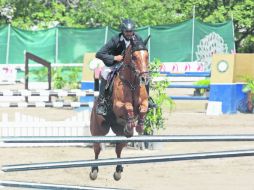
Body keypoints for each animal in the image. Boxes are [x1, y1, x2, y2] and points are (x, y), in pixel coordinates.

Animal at [89, 36, 150, 180]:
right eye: (134, 57)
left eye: (147, 56)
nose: (144, 78)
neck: (132, 83)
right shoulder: (118, 105)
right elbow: (128, 106)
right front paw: (132, 123)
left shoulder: (144, 103)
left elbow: (143, 109)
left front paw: (139, 126)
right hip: (99, 130)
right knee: (97, 149)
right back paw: (94, 170)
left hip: (119, 133)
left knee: (118, 149)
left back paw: (118, 170)